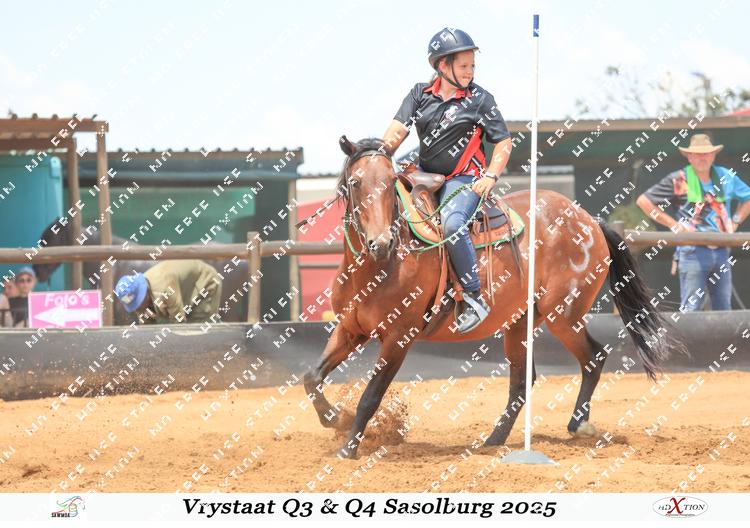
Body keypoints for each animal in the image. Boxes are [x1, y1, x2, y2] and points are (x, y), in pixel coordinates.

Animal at [303, 136, 682, 459]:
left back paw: (578, 424)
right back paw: (494, 439)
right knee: (523, 381)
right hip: (520, 322)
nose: (380, 243)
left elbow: (371, 396)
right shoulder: (350, 330)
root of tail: (588, 219)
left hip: (564, 314)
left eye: (390, 182)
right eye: (356, 183)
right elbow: (312, 378)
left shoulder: (399, 338)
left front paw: (348, 449)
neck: (381, 266)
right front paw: (334, 419)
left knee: (593, 357)